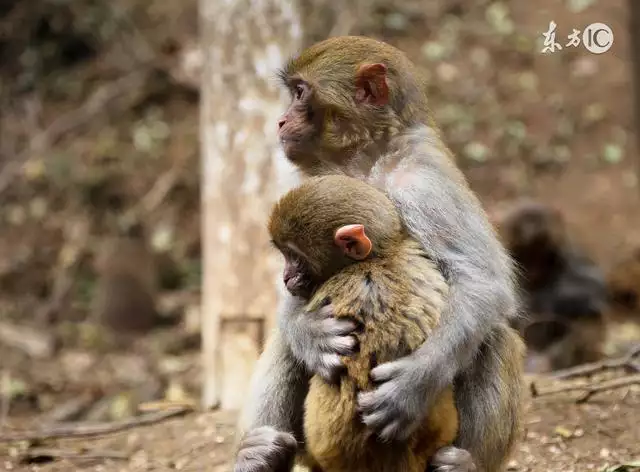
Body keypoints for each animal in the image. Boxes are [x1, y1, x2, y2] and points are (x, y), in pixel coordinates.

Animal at [498, 197, 608, 370]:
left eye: (542, 255)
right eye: (526, 255)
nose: (534, 271)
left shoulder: (572, 256)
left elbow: (591, 285)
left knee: (587, 314)